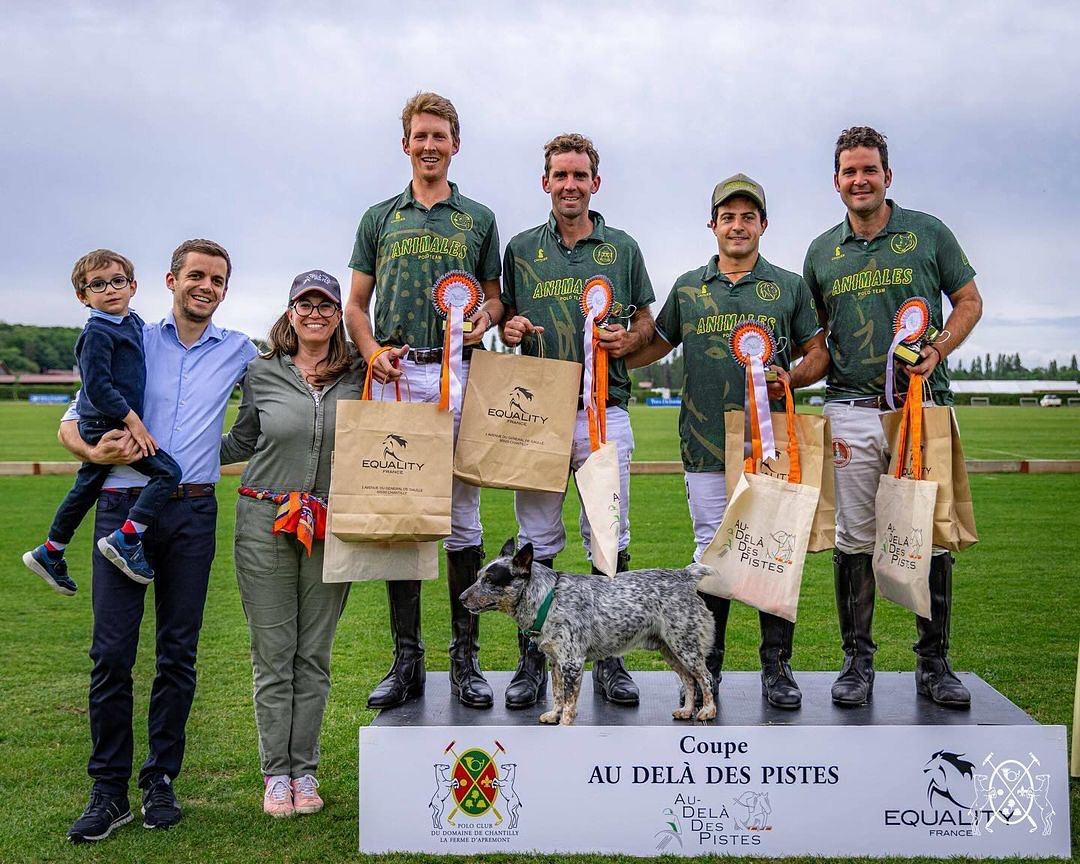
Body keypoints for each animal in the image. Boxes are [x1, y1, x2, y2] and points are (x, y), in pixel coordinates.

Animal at [457, 535, 717, 725]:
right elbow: (558, 694)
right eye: (478, 576)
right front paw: (554, 715)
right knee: (689, 680)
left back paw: (708, 711)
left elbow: (570, 701)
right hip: (670, 650)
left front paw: (565, 723)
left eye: (490, 580)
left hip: (686, 647)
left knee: (705, 677)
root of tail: (684, 575)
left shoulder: (572, 662)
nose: (460, 598)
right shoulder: (556, 662)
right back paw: (686, 710)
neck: (548, 599)